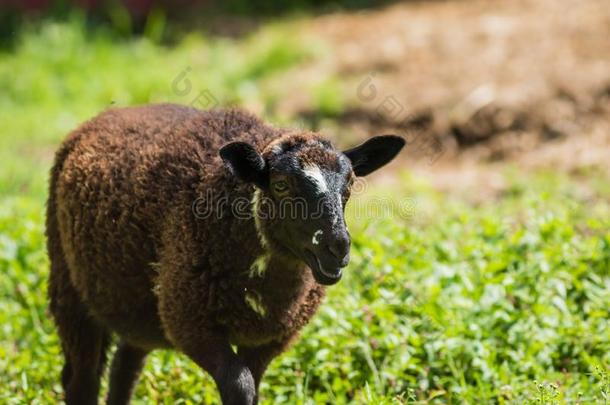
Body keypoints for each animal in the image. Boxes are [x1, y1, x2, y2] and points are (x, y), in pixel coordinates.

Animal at [45, 104, 402, 404]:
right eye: (281, 185)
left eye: (349, 185)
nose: (337, 247)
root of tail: (108, 113)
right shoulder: (189, 321)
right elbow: (239, 386)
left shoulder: (268, 339)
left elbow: (253, 387)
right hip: (67, 285)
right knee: (82, 380)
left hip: (139, 306)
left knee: (124, 368)